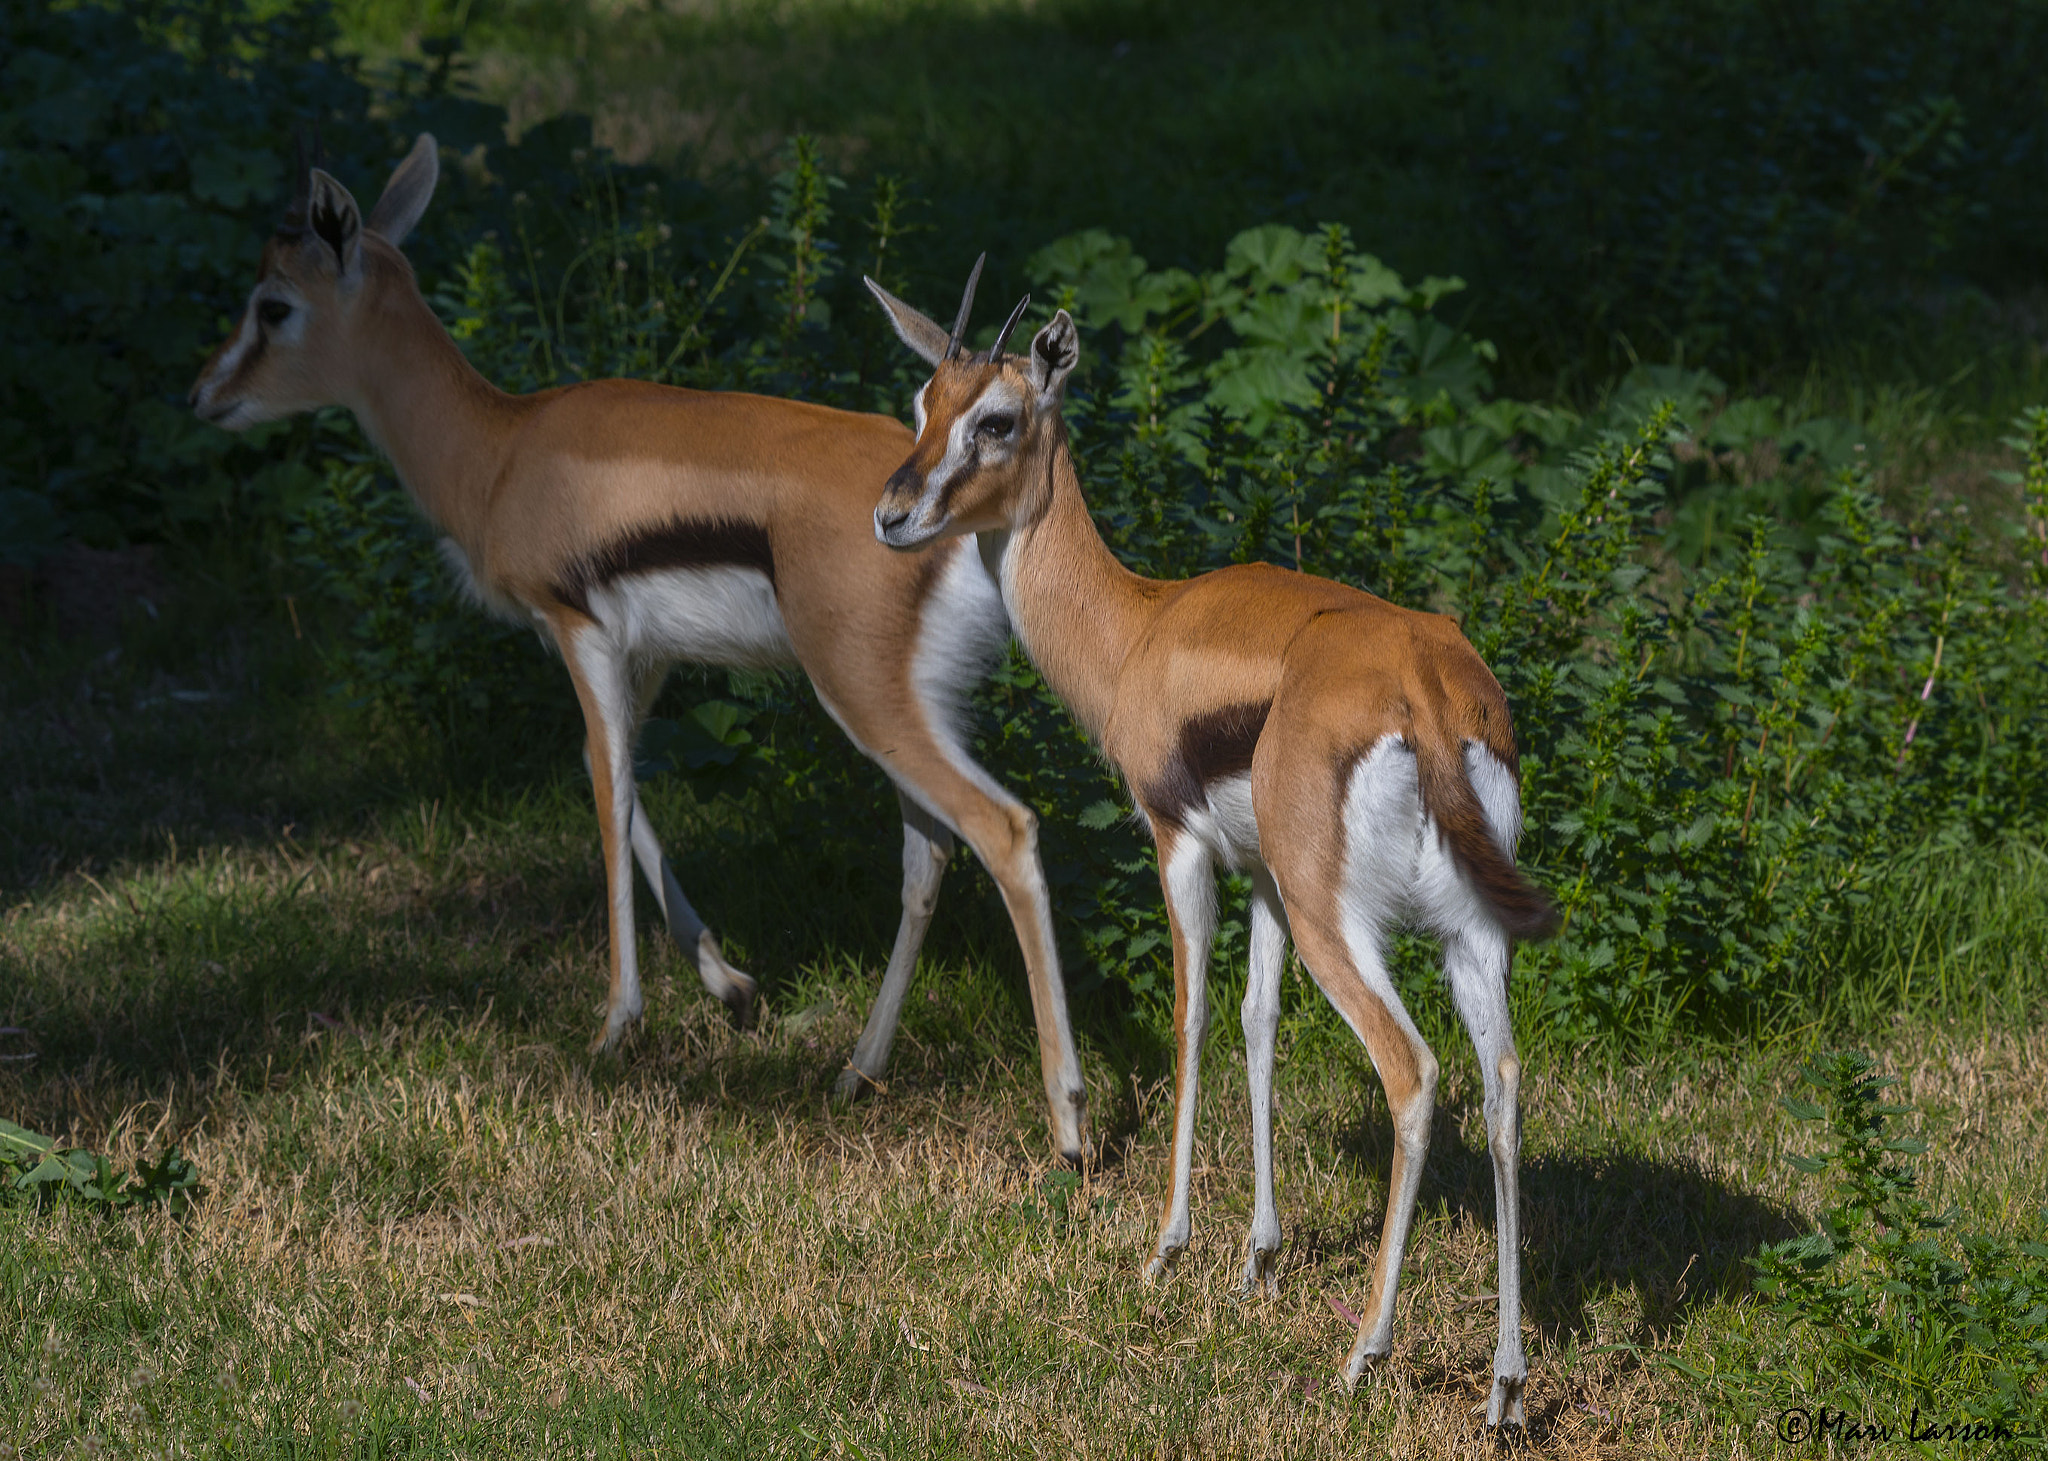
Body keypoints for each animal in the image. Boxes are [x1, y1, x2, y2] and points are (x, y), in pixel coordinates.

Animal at [188, 135, 1089, 1164]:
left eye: (272, 304)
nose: (204, 394)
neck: (500, 450)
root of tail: (953, 523)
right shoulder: (645, 660)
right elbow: (631, 788)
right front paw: (732, 987)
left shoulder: (577, 631)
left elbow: (607, 788)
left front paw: (617, 1027)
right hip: (908, 709)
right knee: (928, 852)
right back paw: (856, 1071)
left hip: (866, 698)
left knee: (1001, 829)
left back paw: (1069, 1125)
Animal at [865, 268, 1558, 1426]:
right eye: (922, 402)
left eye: (996, 419)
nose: (893, 513)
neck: (1138, 628)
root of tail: (1422, 686)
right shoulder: (1266, 883)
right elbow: (1256, 1026)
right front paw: (1257, 1262)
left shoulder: (1179, 843)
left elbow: (1188, 1018)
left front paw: (1166, 1248)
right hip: (1466, 934)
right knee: (1501, 1081)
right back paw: (1503, 1384)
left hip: (1344, 925)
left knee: (1413, 1072)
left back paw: (1364, 1354)